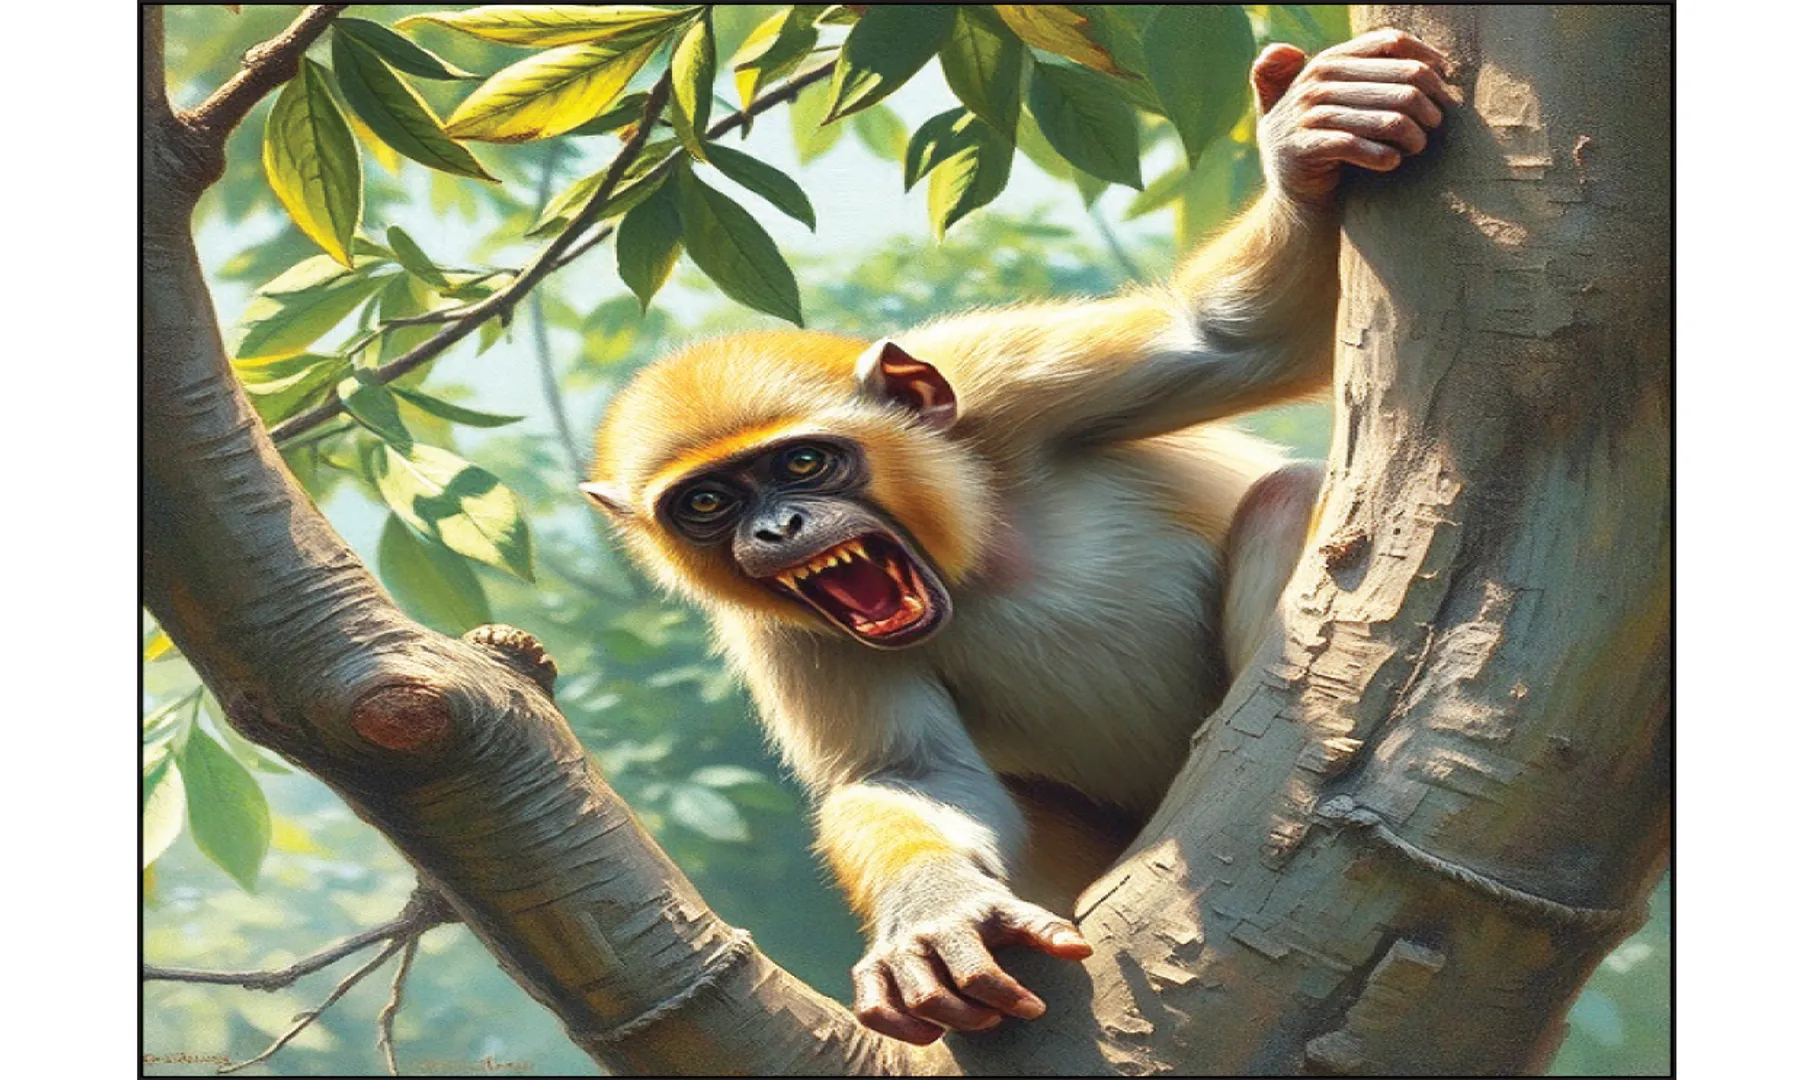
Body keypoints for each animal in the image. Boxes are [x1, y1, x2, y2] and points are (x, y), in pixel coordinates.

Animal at [582, 31, 1456, 1045]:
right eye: (707, 505)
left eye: (802, 463)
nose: (776, 526)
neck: (970, 557)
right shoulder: (783, 632)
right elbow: (906, 771)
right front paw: (932, 912)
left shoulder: (1003, 382)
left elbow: (1236, 340)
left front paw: (1306, 146)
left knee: (1284, 496)